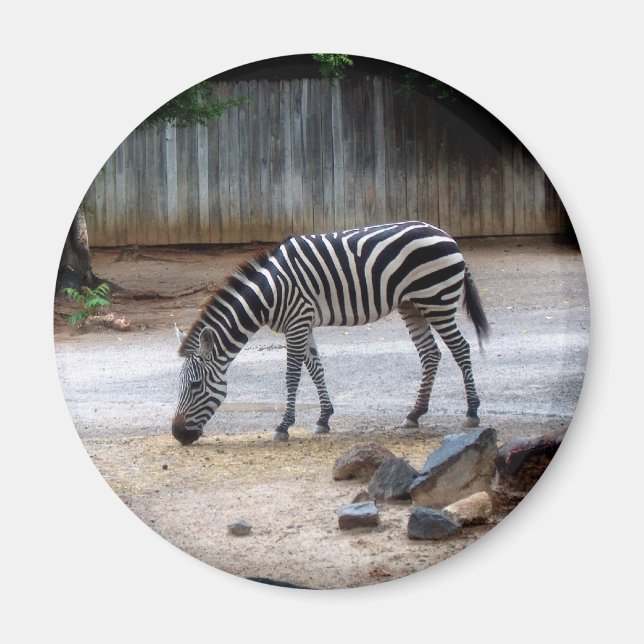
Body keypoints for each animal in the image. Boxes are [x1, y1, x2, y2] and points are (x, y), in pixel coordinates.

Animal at [172, 220, 489, 445]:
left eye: (196, 386)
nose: (177, 434)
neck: (269, 293)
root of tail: (446, 235)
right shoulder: (303, 323)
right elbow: (316, 369)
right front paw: (324, 419)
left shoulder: (297, 322)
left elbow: (292, 375)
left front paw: (284, 426)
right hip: (411, 304)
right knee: (430, 353)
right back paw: (415, 414)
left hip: (436, 300)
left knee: (460, 348)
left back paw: (472, 411)